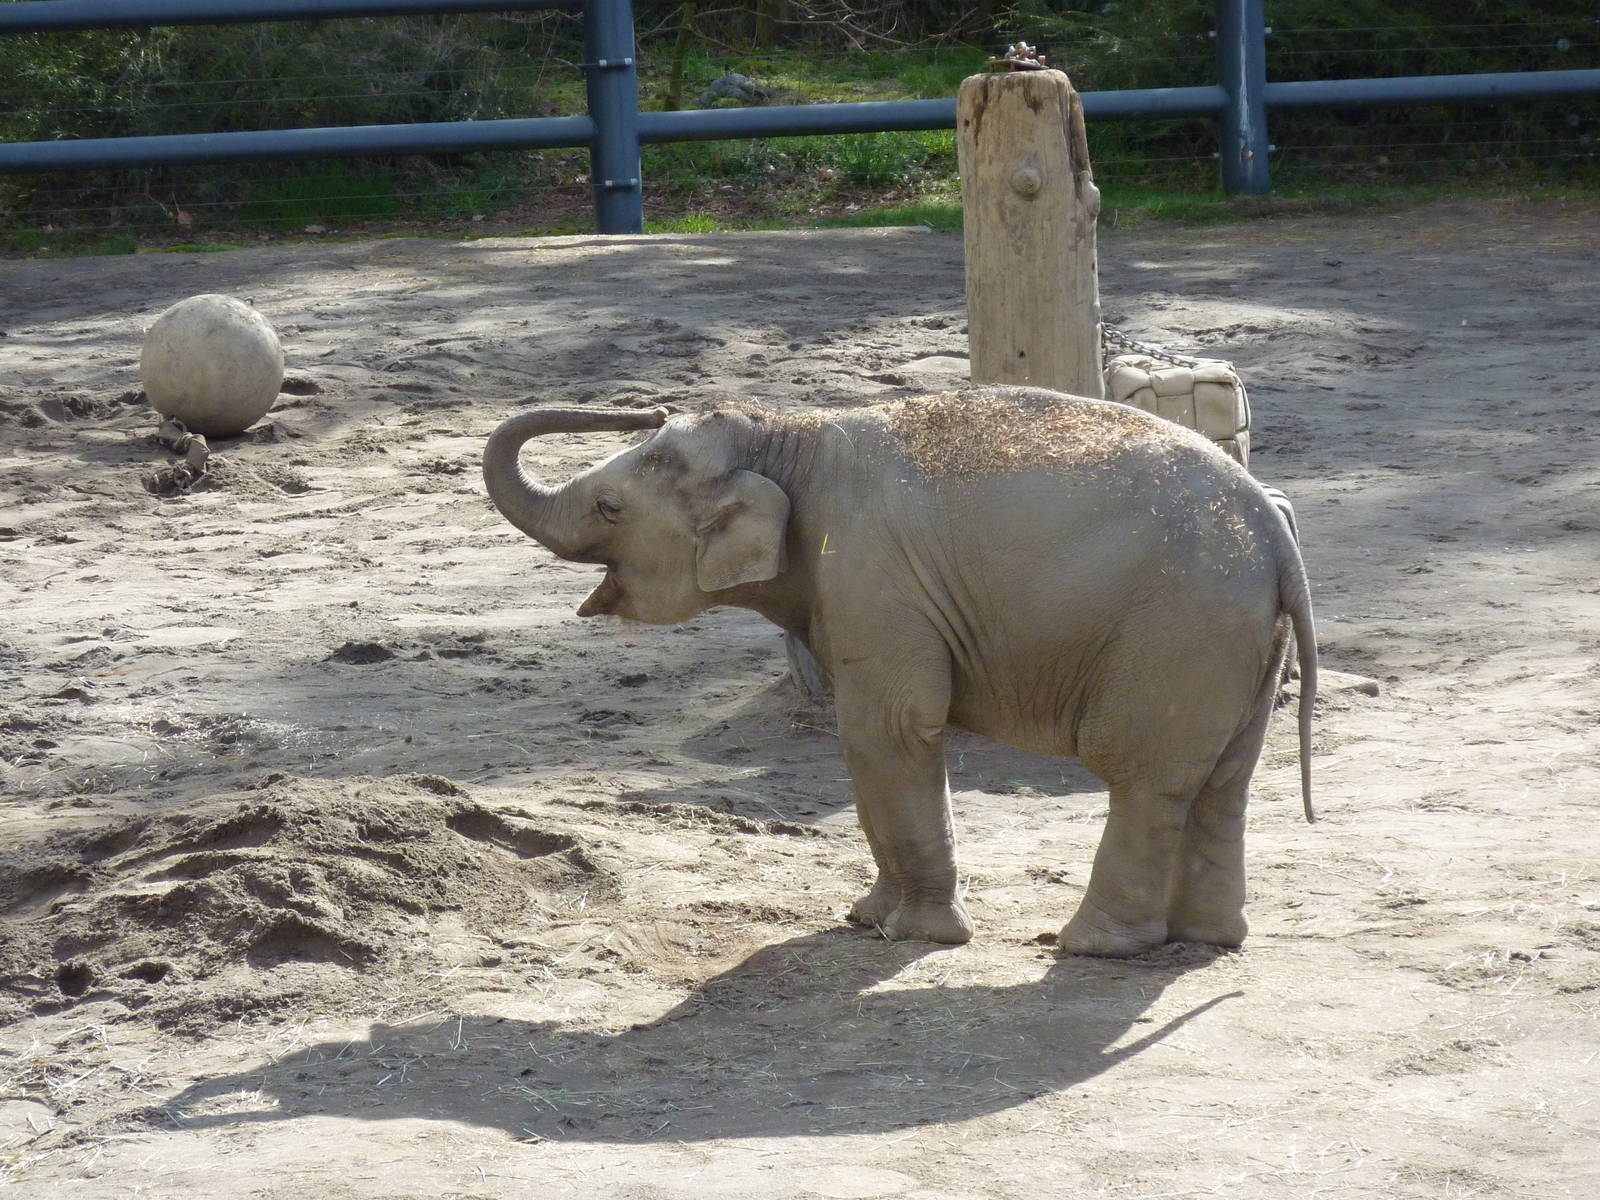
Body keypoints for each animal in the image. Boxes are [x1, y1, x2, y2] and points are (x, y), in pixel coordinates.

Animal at [482, 385, 1316, 957]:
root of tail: (1274, 527)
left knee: (1143, 778)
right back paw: (1206, 938)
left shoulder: (872, 577)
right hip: (1237, 636)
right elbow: (869, 749)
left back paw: (1086, 945)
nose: (646, 405)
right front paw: (864, 919)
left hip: (1179, 628)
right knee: (1224, 778)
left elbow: (888, 730)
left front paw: (918, 937)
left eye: (611, 507)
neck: (785, 434)